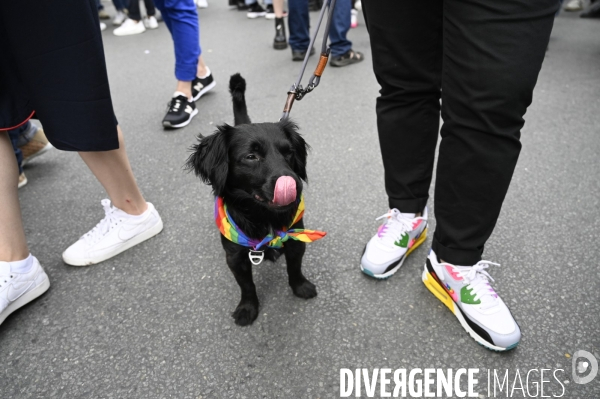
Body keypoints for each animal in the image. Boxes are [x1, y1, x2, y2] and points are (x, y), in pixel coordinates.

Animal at [188, 73, 324, 326]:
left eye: (289, 152)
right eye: (251, 156)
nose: (294, 183)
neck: (263, 216)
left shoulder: (295, 238)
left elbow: (295, 267)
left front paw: (300, 286)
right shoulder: (234, 256)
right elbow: (247, 286)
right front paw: (247, 308)